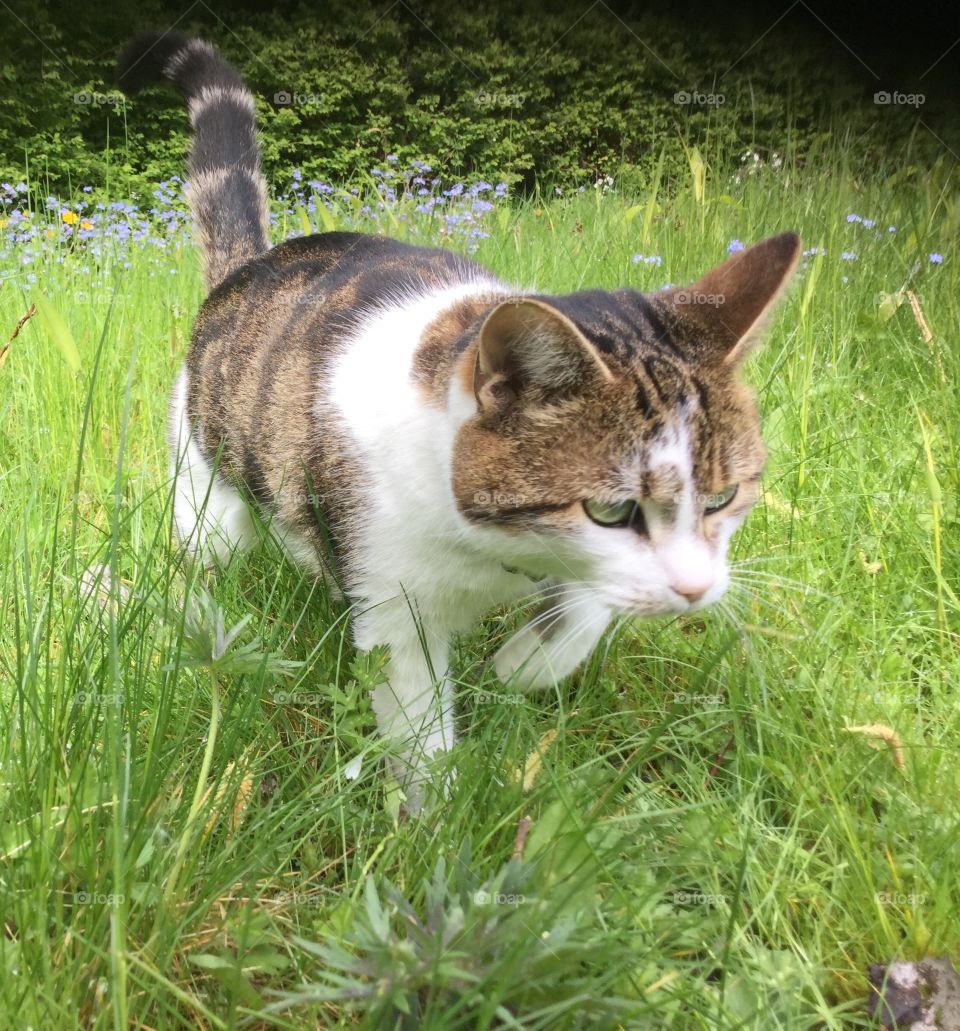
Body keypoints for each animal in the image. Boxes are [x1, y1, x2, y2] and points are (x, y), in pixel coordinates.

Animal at [116, 30, 800, 812]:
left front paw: (525, 662)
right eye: (610, 509)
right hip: (212, 507)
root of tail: (250, 265)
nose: (695, 593)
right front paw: (435, 824)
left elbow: (583, 606)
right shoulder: (392, 608)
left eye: (724, 497)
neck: (495, 552)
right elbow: (419, 731)